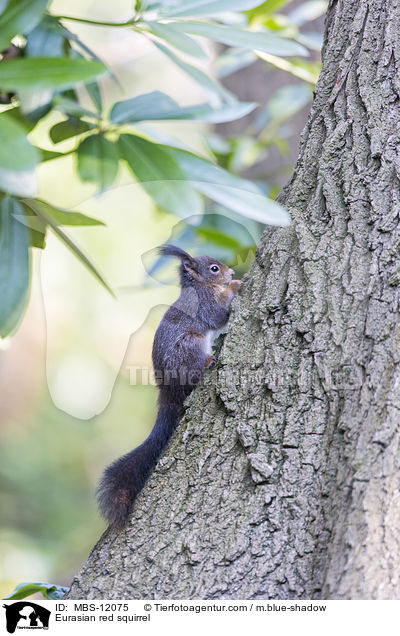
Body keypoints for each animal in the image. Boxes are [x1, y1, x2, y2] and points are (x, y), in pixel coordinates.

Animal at [97, 243, 242, 528]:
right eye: (214, 268)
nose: (231, 272)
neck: (198, 286)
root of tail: (168, 393)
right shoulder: (205, 305)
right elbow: (218, 315)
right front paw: (236, 285)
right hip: (189, 348)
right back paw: (208, 361)